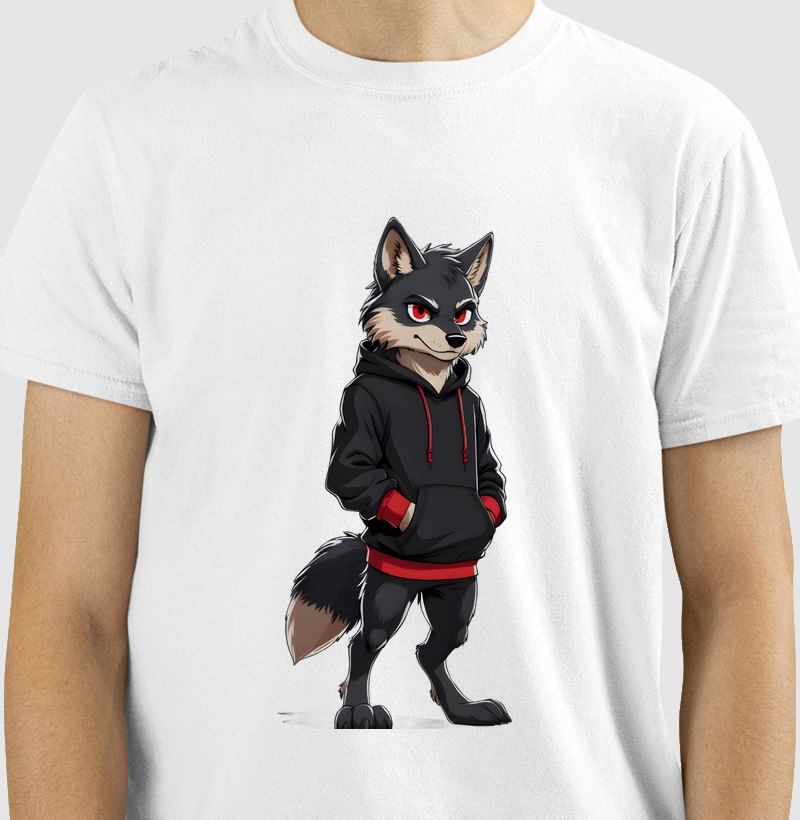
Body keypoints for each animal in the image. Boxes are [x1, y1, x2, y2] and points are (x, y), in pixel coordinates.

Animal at [285, 217, 509, 729]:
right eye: (419, 311)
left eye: (464, 314)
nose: (455, 339)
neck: (430, 382)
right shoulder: (358, 410)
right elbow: (353, 470)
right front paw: (356, 709)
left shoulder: (476, 421)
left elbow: (489, 478)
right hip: (388, 592)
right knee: (364, 643)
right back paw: (356, 710)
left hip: (456, 595)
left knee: (435, 647)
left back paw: (460, 708)